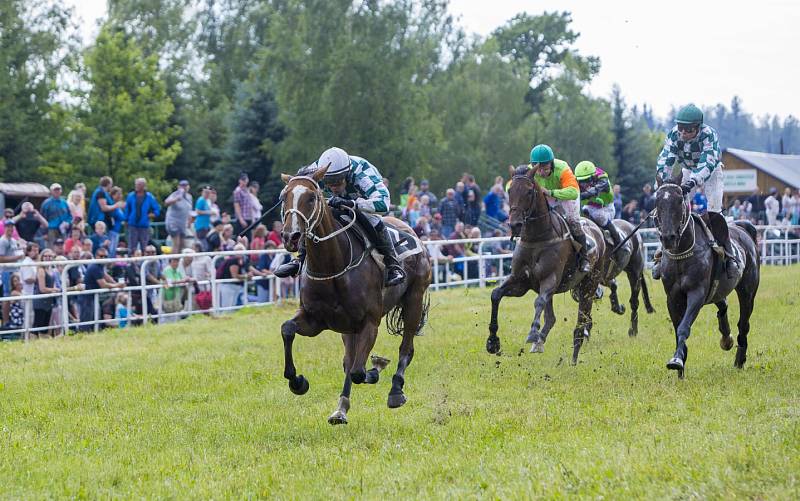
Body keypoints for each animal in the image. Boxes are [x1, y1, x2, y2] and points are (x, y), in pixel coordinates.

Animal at [280, 166, 432, 424]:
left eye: (311, 198)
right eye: (284, 197)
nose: (291, 236)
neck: (331, 267)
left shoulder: (370, 322)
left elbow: (359, 372)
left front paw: (377, 367)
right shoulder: (315, 320)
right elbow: (287, 329)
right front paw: (298, 382)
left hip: (414, 298)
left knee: (405, 349)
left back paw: (395, 390)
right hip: (347, 328)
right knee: (349, 361)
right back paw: (340, 409)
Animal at [488, 166, 608, 366]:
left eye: (529, 192)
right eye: (509, 190)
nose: (515, 224)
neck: (537, 238)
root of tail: (597, 230)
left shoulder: (549, 279)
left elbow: (539, 302)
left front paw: (532, 333)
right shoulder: (520, 282)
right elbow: (496, 294)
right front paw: (492, 342)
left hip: (589, 285)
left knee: (581, 323)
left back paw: (573, 358)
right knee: (551, 318)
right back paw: (540, 342)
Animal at [652, 178, 760, 376]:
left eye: (679, 201)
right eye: (657, 202)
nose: (668, 237)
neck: (682, 254)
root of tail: (743, 228)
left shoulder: (697, 294)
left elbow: (684, 327)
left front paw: (677, 360)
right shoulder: (672, 297)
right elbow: (677, 327)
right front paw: (680, 361)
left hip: (748, 291)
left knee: (743, 324)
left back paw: (739, 360)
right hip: (717, 290)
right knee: (723, 304)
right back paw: (726, 338)